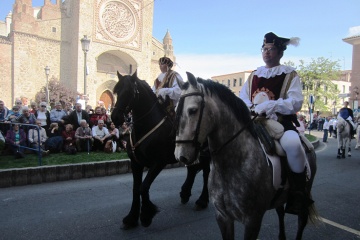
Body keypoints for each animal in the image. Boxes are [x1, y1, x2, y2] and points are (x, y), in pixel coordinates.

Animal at [111, 71, 210, 229]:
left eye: (129, 92)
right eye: (116, 91)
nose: (115, 117)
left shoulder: (158, 163)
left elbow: (143, 187)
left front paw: (146, 215)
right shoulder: (136, 163)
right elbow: (135, 188)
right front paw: (131, 218)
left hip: (206, 152)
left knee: (206, 172)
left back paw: (202, 200)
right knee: (192, 169)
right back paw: (185, 193)